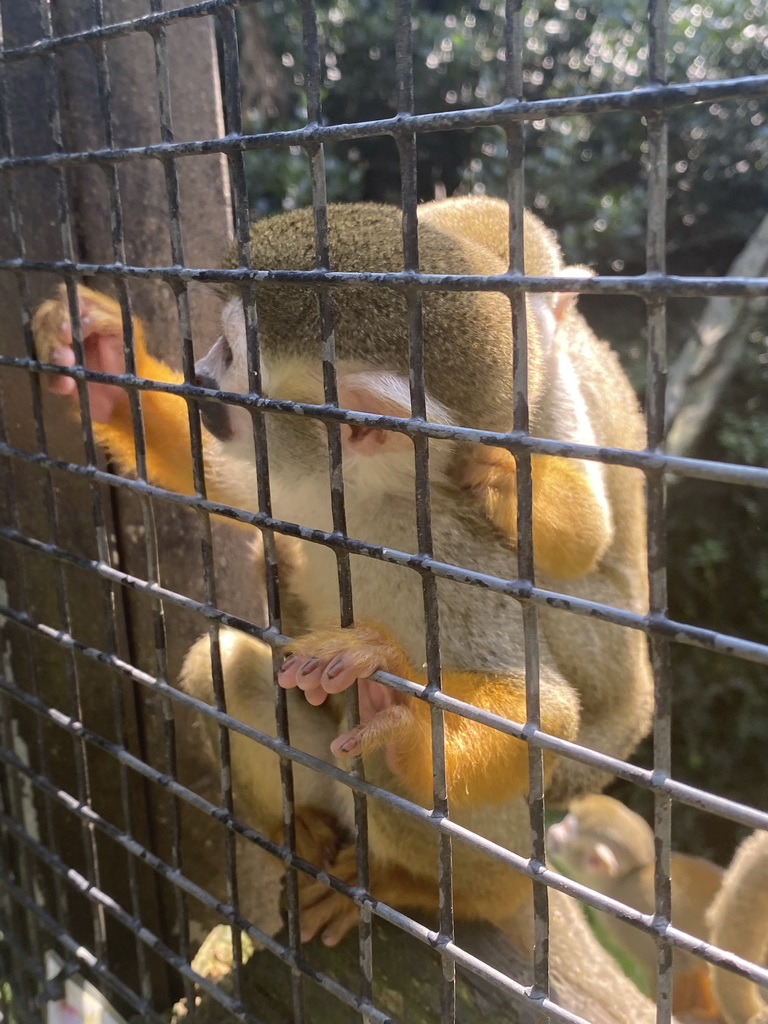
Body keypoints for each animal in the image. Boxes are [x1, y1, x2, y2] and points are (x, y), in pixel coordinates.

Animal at [31, 199, 655, 1024]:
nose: (202, 377)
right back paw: (304, 834)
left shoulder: (452, 544)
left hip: (498, 853)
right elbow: (219, 478)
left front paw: (398, 708)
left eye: (231, 353)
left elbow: (542, 711)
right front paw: (103, 356)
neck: (368, 498)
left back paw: (408, 888)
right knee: (234, 668)